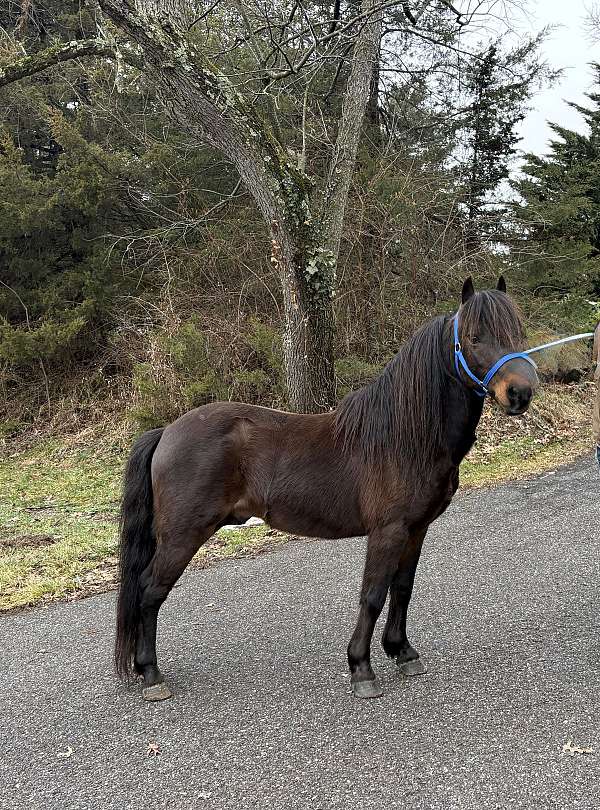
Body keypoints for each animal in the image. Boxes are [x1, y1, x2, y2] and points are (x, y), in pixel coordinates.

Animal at [115, 275, 538, 701]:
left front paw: (402, 652)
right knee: (149, 591)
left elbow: (402, 588)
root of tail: (166, 431)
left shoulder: (416, 528)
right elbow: (373, 595)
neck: (405, 436)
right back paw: (151, 674)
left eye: (517, 330)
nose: (520, 393)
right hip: (183, 535)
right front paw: (361, 668)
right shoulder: (388, 531)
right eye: (474, 337)